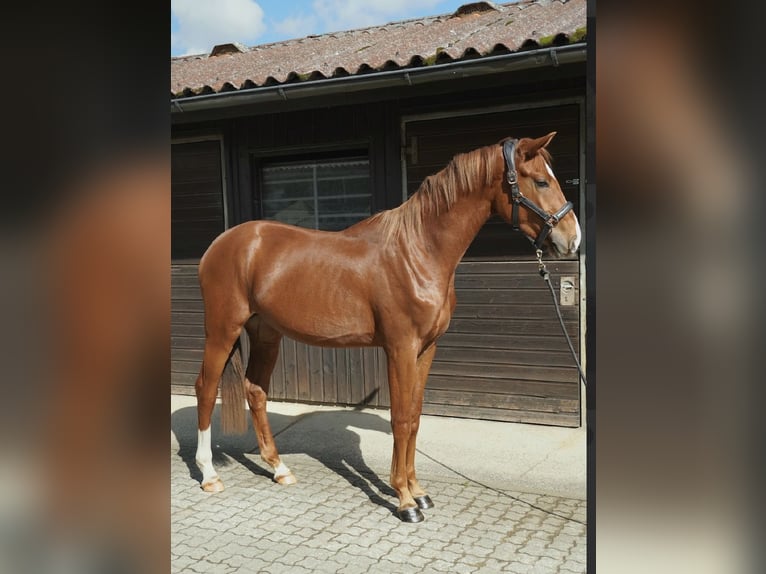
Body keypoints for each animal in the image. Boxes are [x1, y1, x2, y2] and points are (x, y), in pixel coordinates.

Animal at [193, 132, 581, 522]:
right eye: (541, 181)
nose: (572, 238)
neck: (417, 252)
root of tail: (219, 244)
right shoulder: (400, 348)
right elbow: (401, 418)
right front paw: (405, 501)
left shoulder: (426, 349)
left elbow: (415, 418)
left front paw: (419, 492)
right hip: (222, 330)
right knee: (206, 388)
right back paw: (209, 475)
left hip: (266, 333)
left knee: (255, 391)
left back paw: (279, 469)